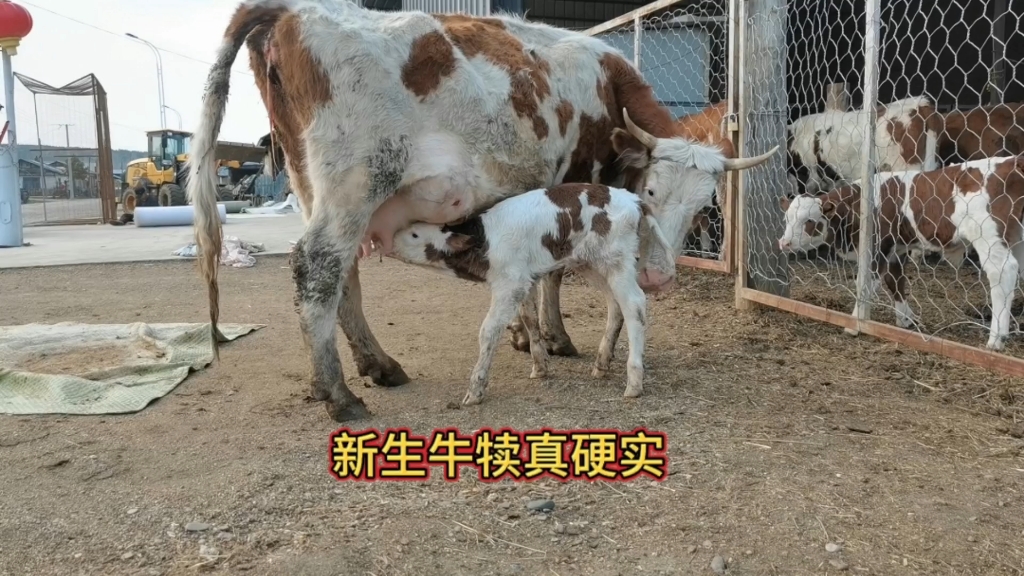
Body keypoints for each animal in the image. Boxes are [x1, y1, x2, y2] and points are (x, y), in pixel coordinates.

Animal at [385, 182, 671, 403]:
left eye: (414, 234)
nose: (387, 239)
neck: (485, 240)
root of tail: (634, 199)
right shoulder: (526, 279)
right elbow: (530, 317)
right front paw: (540, 366)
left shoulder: (510, 283)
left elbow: (489, 330)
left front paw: (475, 390)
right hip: (591, 263)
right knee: (615, 304)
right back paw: (601, 364)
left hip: (617, 260)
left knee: (634, 303)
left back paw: (634, 383)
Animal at [774, 153, 1024, 350]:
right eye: (786, 218)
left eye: (809, 221)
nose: (784, 243)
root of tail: (1012, 161)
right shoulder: (897, 249)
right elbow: (896, 282)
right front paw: (905, 319)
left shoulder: (878, 248)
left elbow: (867, 283)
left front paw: (855, 323)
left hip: (990, 237)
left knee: (1003, 273)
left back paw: (996, 339)